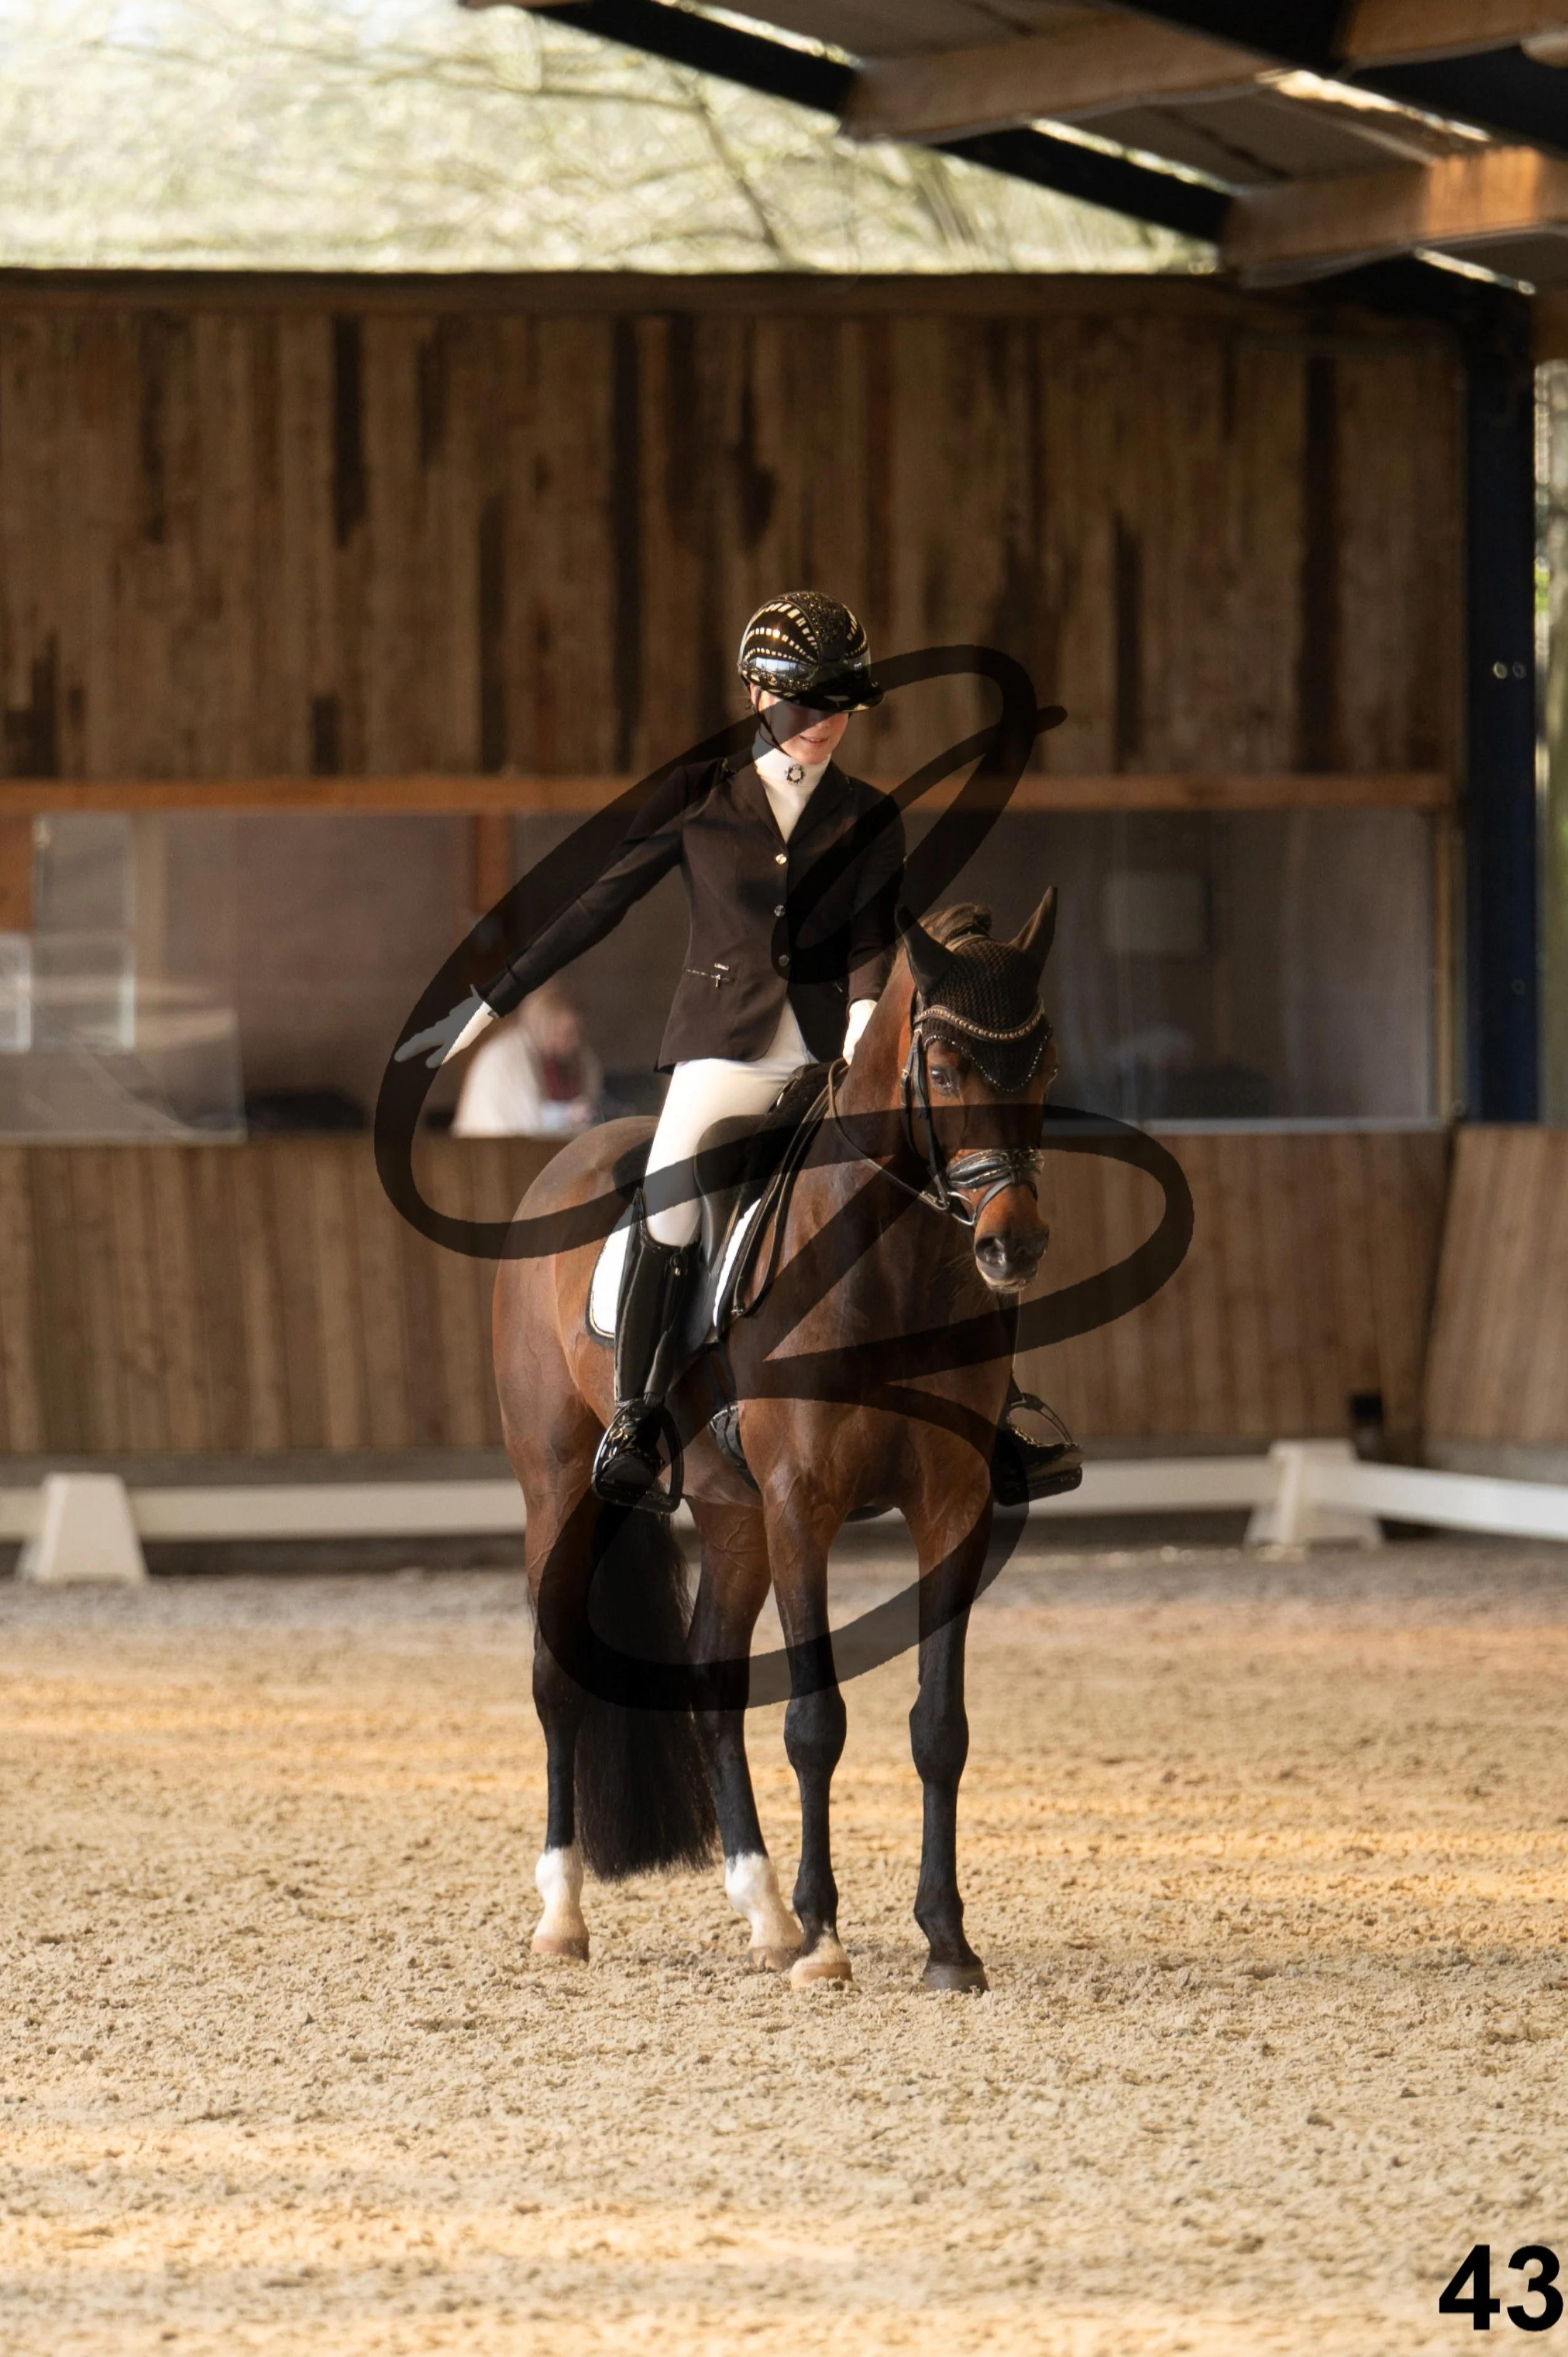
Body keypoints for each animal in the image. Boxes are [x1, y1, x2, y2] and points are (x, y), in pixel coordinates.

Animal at [492, 892, 1060, 1992]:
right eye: (942, 1070)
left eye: (1044, 1061)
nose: (1013, 1244)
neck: (893, 1263)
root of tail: (568, 1160)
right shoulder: (806, 1501)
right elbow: (815, 1720)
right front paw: (830, 1938)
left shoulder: (953, 1502)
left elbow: (940, 1726)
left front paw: (946, 1942)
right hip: (564, 1489)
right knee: (557, 1679)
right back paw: (563, 1914)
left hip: (732, 1513)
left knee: (713, 1681)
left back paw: (763, 1911)